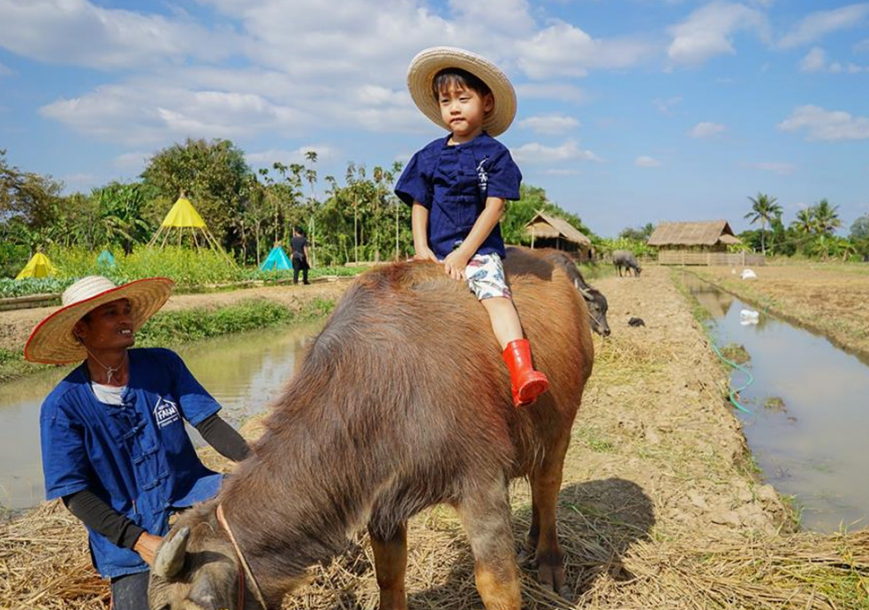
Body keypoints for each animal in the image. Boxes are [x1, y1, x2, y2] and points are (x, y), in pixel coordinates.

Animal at [151, 248, 596, 608]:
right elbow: (389, 577)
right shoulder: (382, 502)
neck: (381, 384)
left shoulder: (482, 485)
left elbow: (497, 587)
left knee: (548, 484)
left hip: (562, 422)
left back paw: (549, 560)